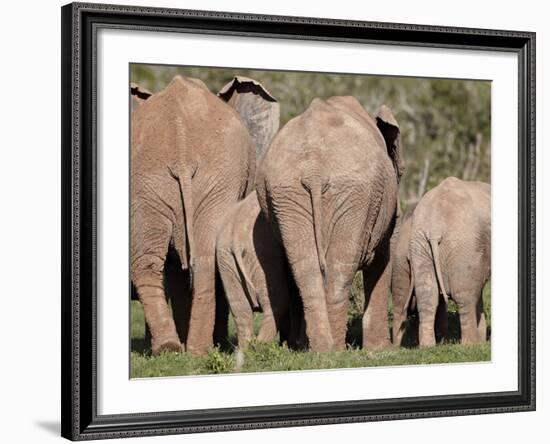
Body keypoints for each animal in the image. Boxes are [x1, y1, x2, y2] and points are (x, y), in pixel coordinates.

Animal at [256, 96, 406, 350]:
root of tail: (313, 170)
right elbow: (383, 257)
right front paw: (382, 350)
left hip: (285, 194)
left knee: (304, 266)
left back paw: (319, 348)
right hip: (354, 193)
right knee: (340, 266)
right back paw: (335, 350)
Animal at [410, 177, 492, 346]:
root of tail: (435, 226)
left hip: (419, 241)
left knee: (427, 295)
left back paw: (427, 346)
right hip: (463, 243)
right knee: (465, 295)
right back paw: (471, 345)